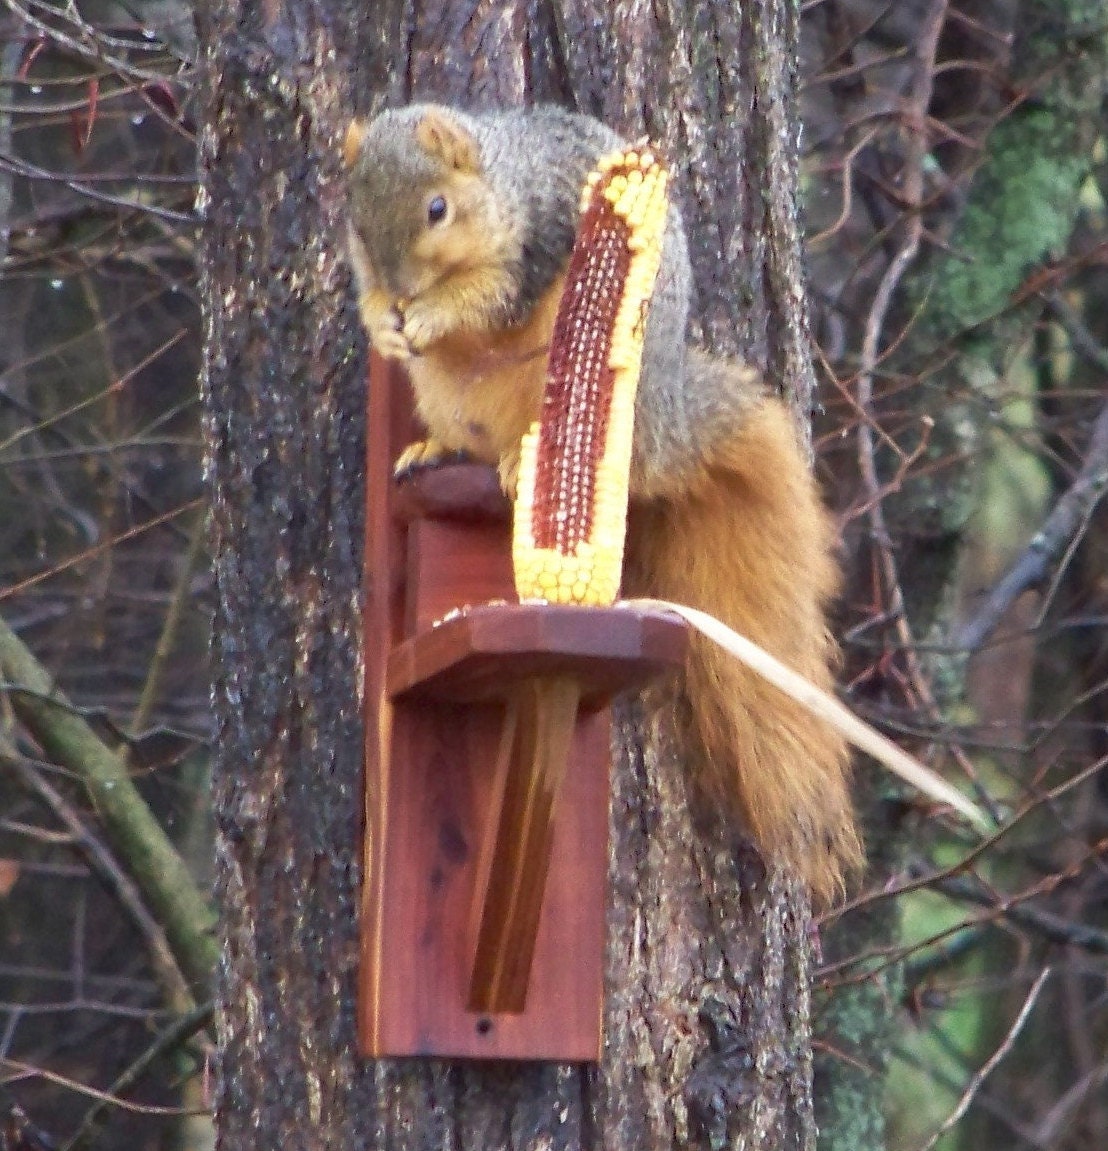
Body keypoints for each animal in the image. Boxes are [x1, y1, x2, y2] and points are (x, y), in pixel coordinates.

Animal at [343, 103, 862, 903]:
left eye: (437, 209)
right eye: (359, 227)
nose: (399, 290)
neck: (501, 178)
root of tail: (660, 426)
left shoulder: (537, 238)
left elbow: (490, 297)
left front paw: (429, 317)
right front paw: (382, 321)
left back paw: (518, 458)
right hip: (448, 397)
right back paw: (436, 449)